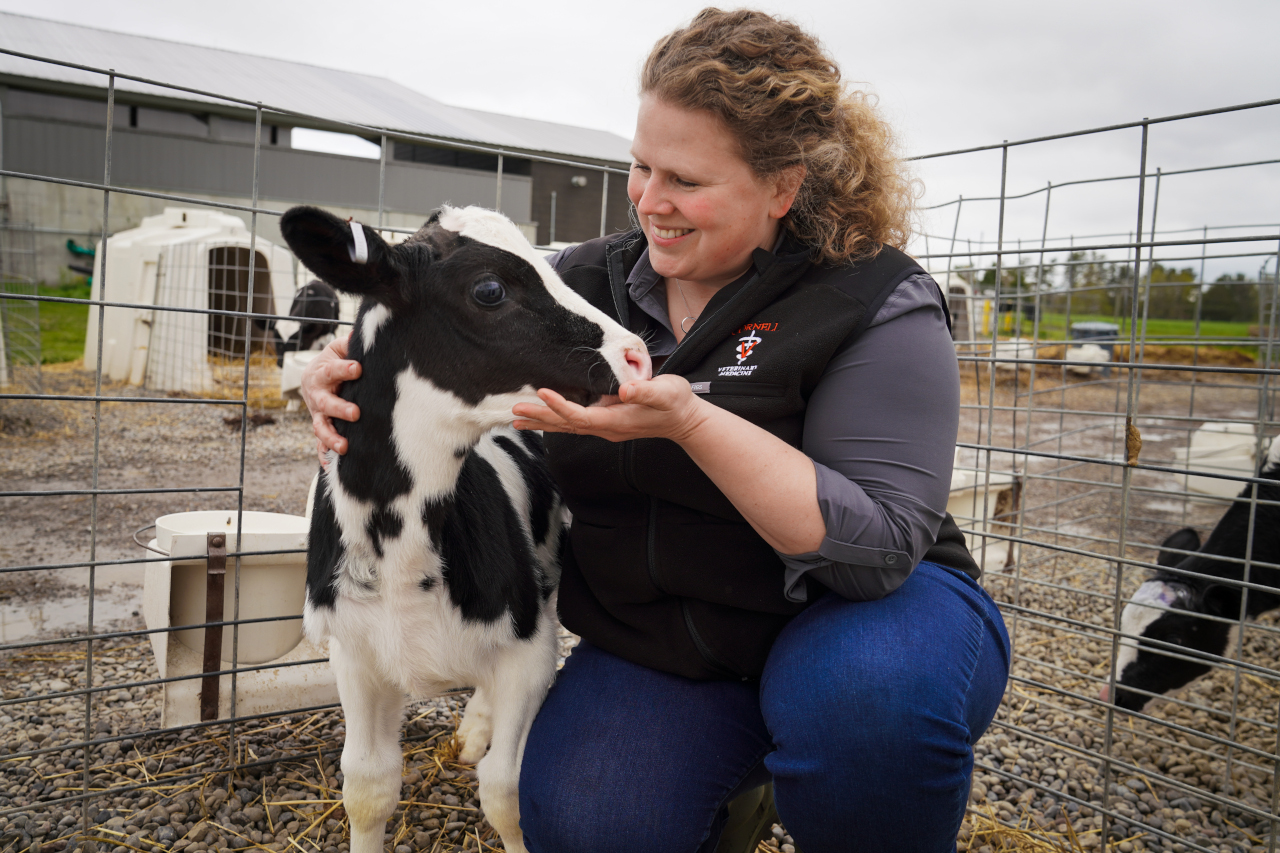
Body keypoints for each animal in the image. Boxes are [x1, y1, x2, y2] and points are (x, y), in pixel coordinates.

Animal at [285, 204, 655, 850]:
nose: (635, 356)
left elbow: (506, 792)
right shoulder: (354, 654)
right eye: (489, 290)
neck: (403, 554)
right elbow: (367, 788)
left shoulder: (528, 651)